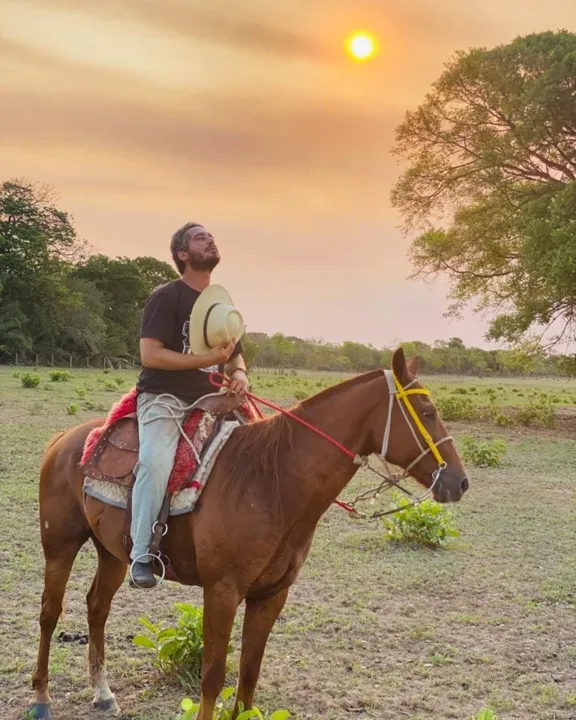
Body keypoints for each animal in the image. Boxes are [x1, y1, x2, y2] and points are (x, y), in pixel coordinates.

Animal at [28, 346, 468, 716]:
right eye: (427, 411)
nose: (459, 482)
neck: (272, 481)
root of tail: (62, 440)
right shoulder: (222, 591)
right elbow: (212, 675)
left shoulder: (270, 595)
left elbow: (249, 674)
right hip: (59, 545)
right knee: (50, 613)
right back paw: (40, 699)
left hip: (113, 553)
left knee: (96, 608)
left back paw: (103, 694)